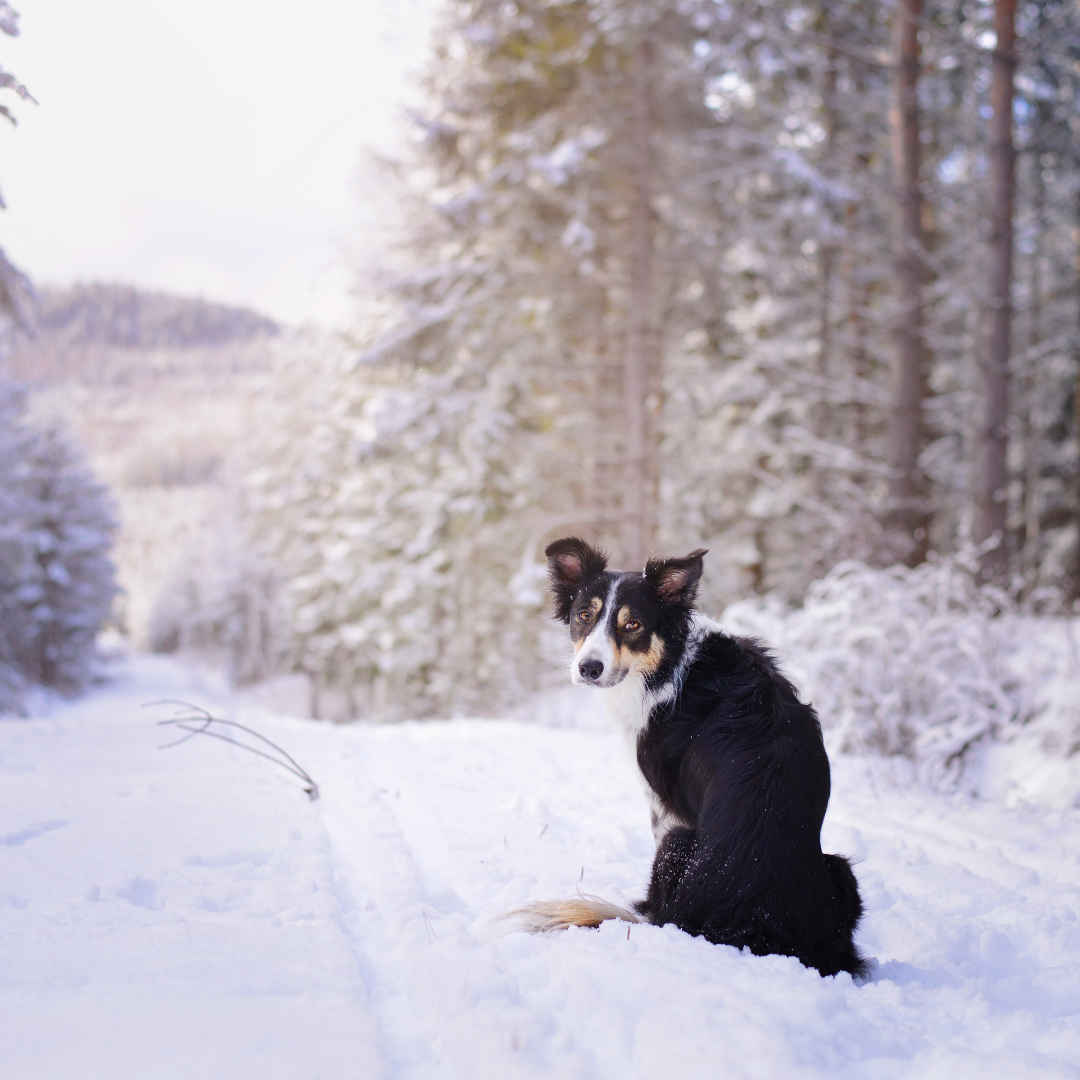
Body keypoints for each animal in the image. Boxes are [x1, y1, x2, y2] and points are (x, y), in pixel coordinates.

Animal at [498, 535, 868, 984]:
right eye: (584, 615)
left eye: (633, 625)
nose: (588, 668)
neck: (671, 664)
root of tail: (753, 923)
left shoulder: (663, 806)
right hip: (841, 870)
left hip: (679, 845)